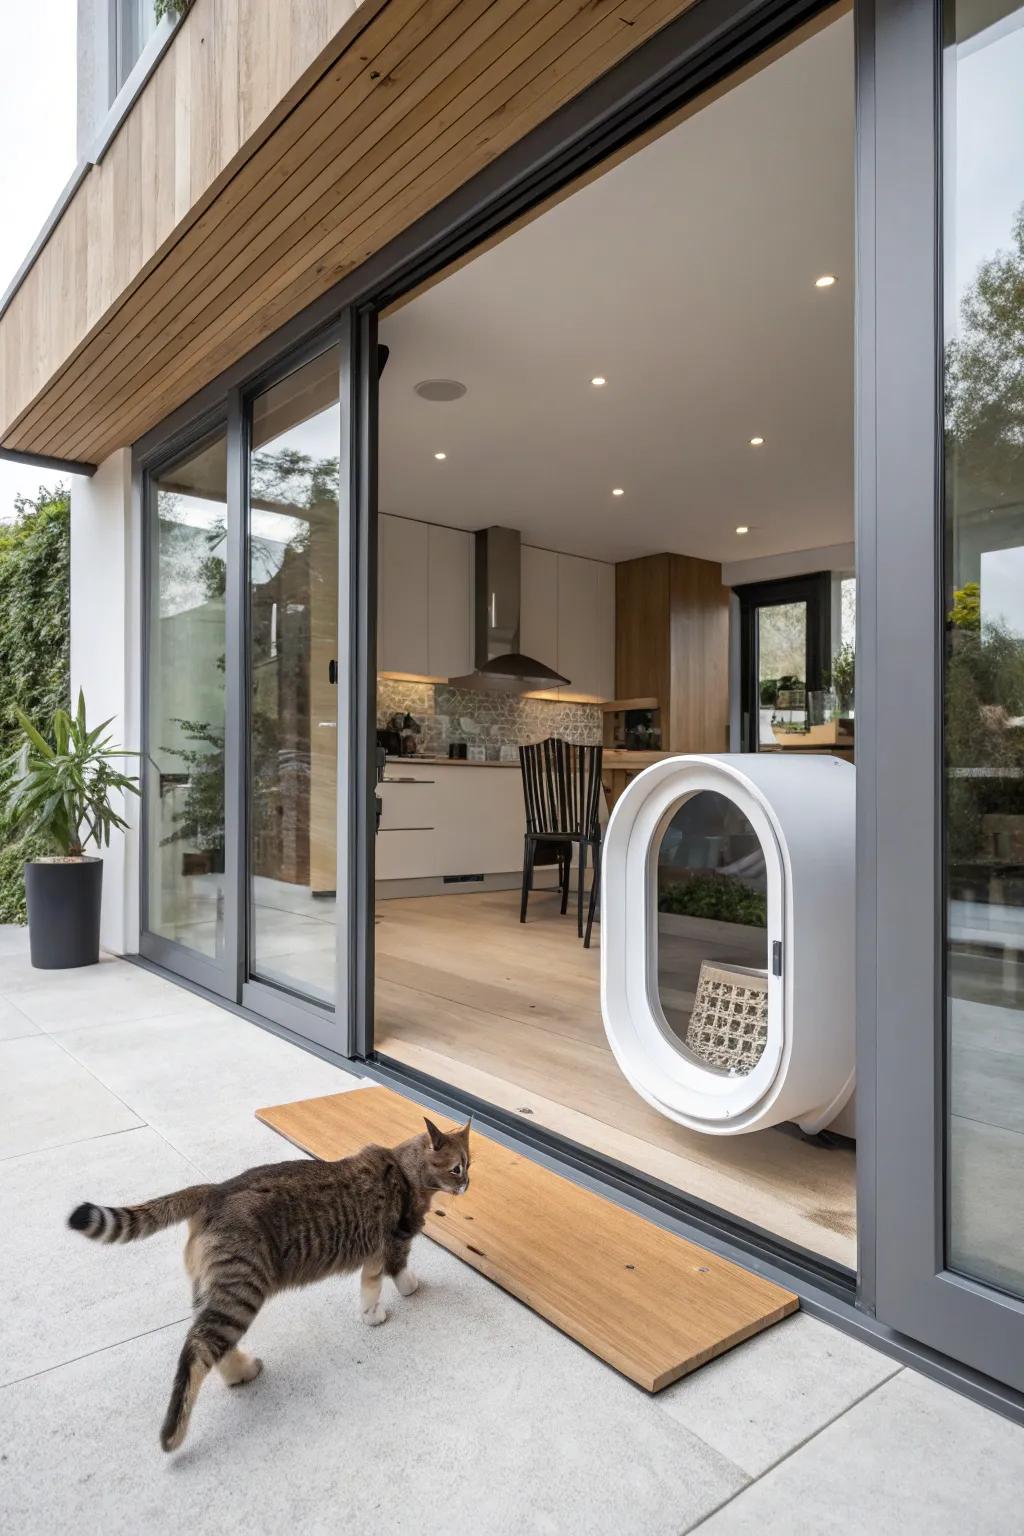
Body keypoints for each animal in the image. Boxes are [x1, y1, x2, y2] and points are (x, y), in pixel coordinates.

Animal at [66, 1118, 475, 1449]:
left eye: (470, 1165)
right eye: (457, 1168)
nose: (468, 1184)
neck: (404, 1169)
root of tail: (213, 1189)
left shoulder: (373, 1255)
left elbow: (369, 1286)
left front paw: (370, 1314)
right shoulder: (395, 1244)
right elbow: (399, 1275)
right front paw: (403, 1294)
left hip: (212, 1292)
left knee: (213, 1346)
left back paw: (241, 1372)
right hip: (240, 1292)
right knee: (197, 1347)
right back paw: (176, 1432)